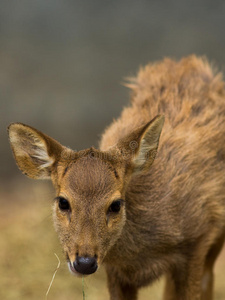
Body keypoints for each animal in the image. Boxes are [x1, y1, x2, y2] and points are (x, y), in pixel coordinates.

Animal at [7, 55, 225, 298]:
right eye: (63, 202)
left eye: (115, 204)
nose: (84, 262)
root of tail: (185, 61)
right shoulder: (114, 270)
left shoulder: (198, 240)